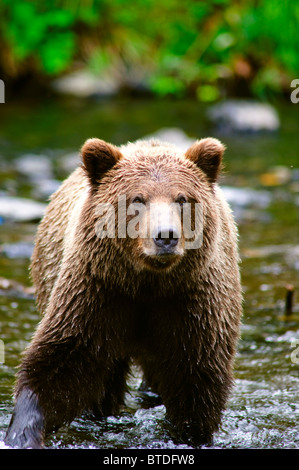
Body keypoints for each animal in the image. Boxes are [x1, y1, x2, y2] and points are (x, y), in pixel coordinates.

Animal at [5, 136, 244, 448]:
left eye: (182, 198)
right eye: (138, 198)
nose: (165, 236)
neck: (147, 282)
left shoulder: (191, 300)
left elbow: (196, 375)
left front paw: (191, 434)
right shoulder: (98, 292)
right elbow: (61, 364)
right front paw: (22, 431)